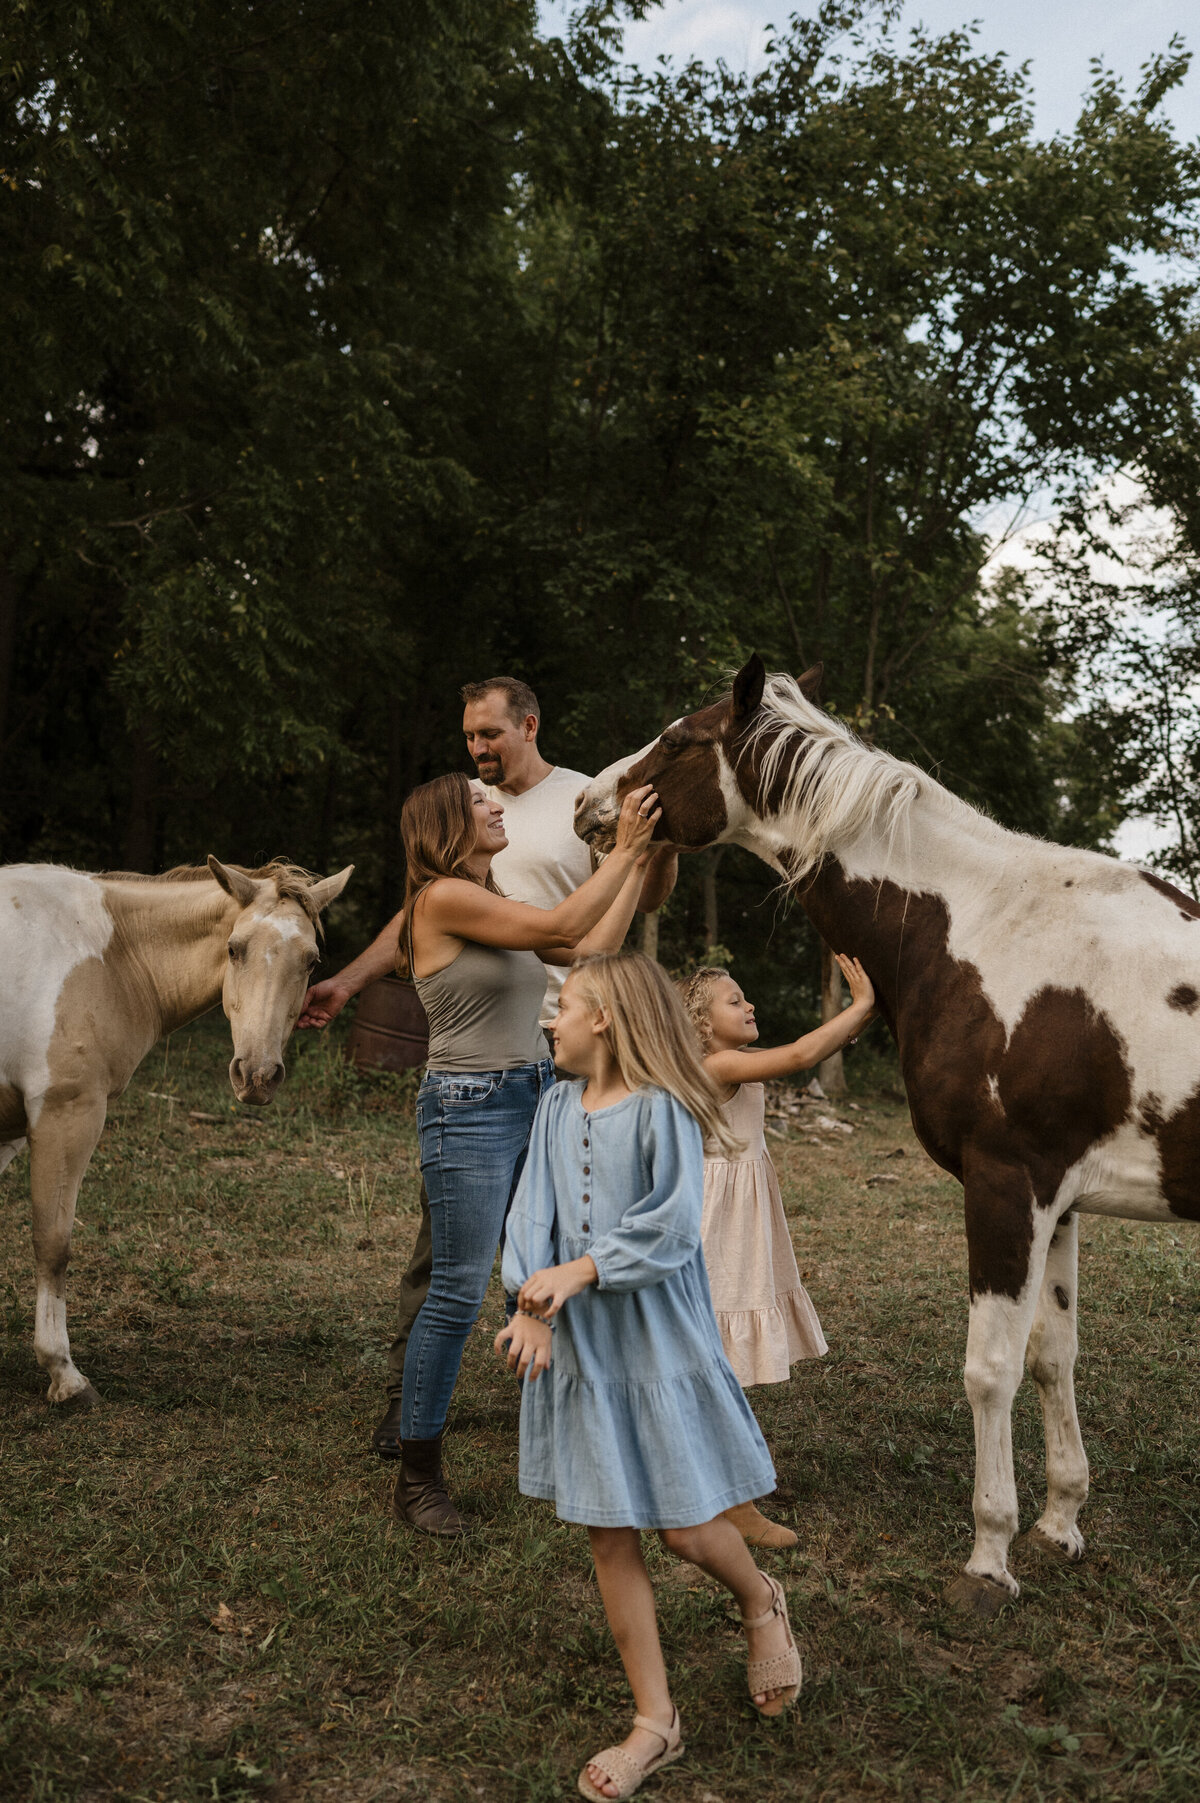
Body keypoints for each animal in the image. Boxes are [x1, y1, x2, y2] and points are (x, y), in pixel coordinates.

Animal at [2, 851, 351, 1413]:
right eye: (234, 949)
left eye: (313, 961)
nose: (257, 1075)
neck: (111, 955)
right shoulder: (66, 1114)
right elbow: (53, 1244)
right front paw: (65, 1375)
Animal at [572, 656, 1200, 1615]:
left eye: (678, 739)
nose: (589, 804)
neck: (980, 928)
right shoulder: (1060, 1199)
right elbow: (1052, 1356)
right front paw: (1059, 1523)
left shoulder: (1008, 1184)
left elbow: (990, 1367)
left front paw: (989, 1556)